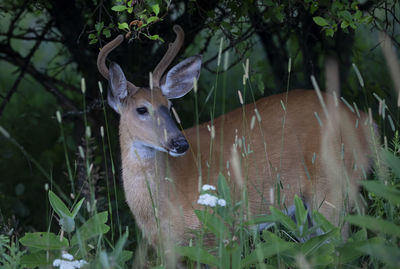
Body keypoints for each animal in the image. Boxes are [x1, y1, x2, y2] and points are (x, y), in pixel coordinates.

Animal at [97, 26, 376, 254]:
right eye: (141, 109)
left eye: (169, 105)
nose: (179, 143)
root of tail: (364, 120)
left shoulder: (218, 229)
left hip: (335, 189)